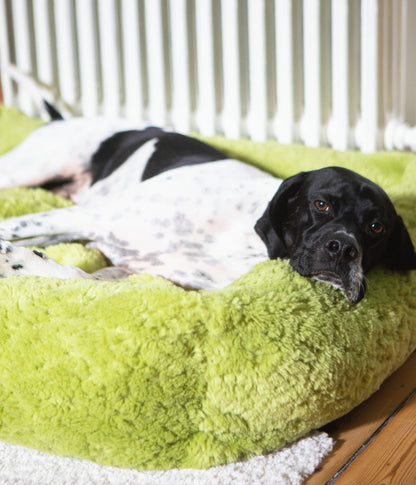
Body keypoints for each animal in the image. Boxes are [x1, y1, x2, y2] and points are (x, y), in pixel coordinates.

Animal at [0, 107, 414, 300]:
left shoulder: (138, 274)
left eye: (376, 227)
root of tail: (61, 118)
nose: (344, 248)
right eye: (322, 204)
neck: (241, 238)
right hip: (32, 173)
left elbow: (77, 276)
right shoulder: (93, 218)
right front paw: (12, 257)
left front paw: (21, 262)